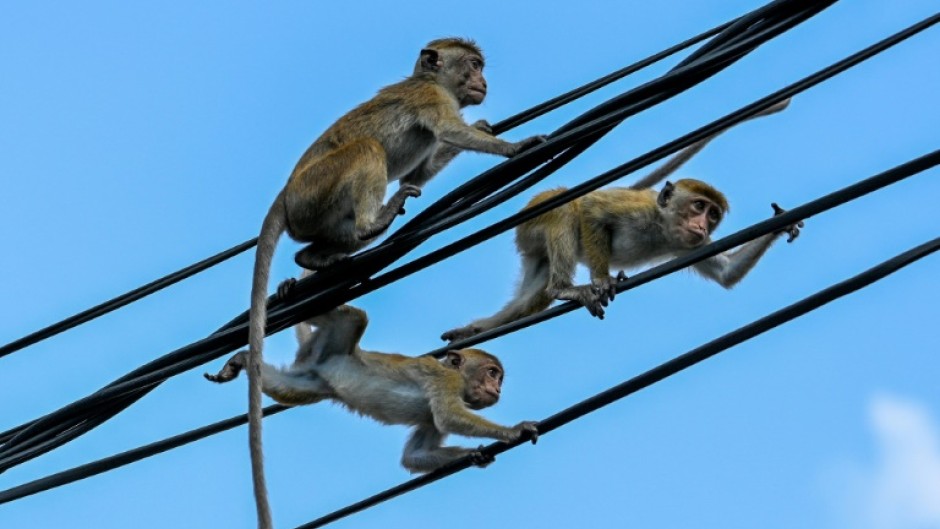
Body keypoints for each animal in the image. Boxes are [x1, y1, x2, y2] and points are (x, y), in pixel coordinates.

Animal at [207, 304, 538, 474]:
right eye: (492, 373)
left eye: (499, 378)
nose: (497, 388)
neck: (451, 371)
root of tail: (319, 358)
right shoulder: (446, 383)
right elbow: (448, 416)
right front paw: (514, 431)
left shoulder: (430, 415)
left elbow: (415, 455)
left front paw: (474, 454)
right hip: (337, 338)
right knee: (355, 316)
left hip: (313, 379)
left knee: (287, 389)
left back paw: (243, 359)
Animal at [244, 38, 546, 529]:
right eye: (474, 65)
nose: (483, 82)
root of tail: (285, 194)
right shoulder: (431, 99)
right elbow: (451, 131)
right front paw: (513, 145)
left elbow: (421, 168)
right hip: (314, 192)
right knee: (367, 149)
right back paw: (371, 225)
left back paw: (314, 262)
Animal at [441, 178, 804, 342]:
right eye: (699, 207)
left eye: (713, 215)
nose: (702, 225)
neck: (661, 225)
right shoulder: (637, 208)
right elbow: (590, 208)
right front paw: (602, 280)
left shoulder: (691, 245)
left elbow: (726, 273)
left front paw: (781, 223)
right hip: (536, 216)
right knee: (565, 210)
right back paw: (564, 288)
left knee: (534, 295)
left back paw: (479, 328)